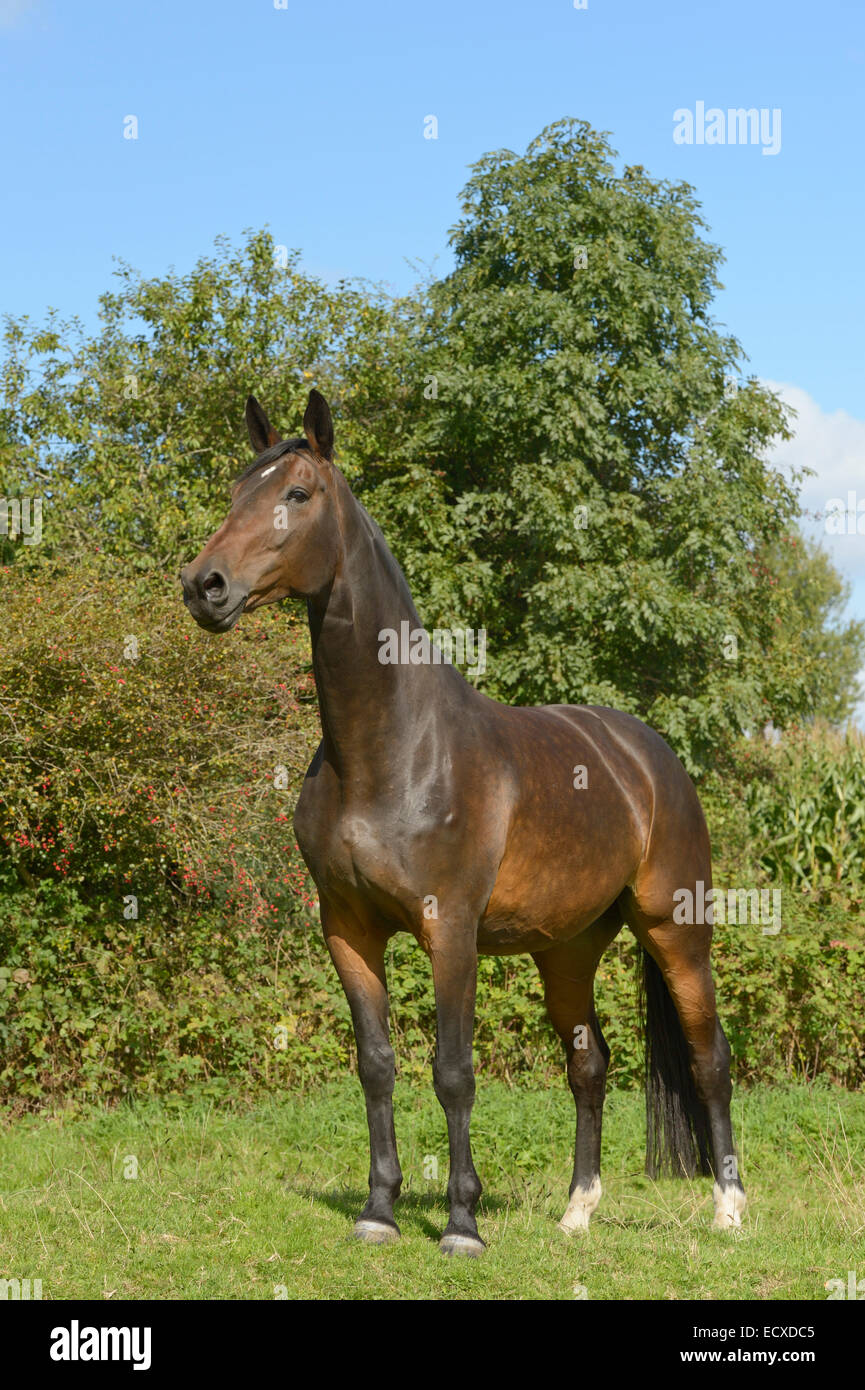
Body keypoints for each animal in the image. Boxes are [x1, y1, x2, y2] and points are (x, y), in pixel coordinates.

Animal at [180, 386, 745, 1256]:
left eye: (297, 495)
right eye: (237, 490)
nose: (204, 585)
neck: (391, 751)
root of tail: (649, 757)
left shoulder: (448, 928)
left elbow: (452, 1071)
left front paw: (461, 1223)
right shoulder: (347, 929)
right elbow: (376, 1063)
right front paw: (379, 1211)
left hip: (676, 932)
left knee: (709, 1057)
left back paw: (728, 1209)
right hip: (566, 951)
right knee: (589, 1064)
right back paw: (576, 1211)